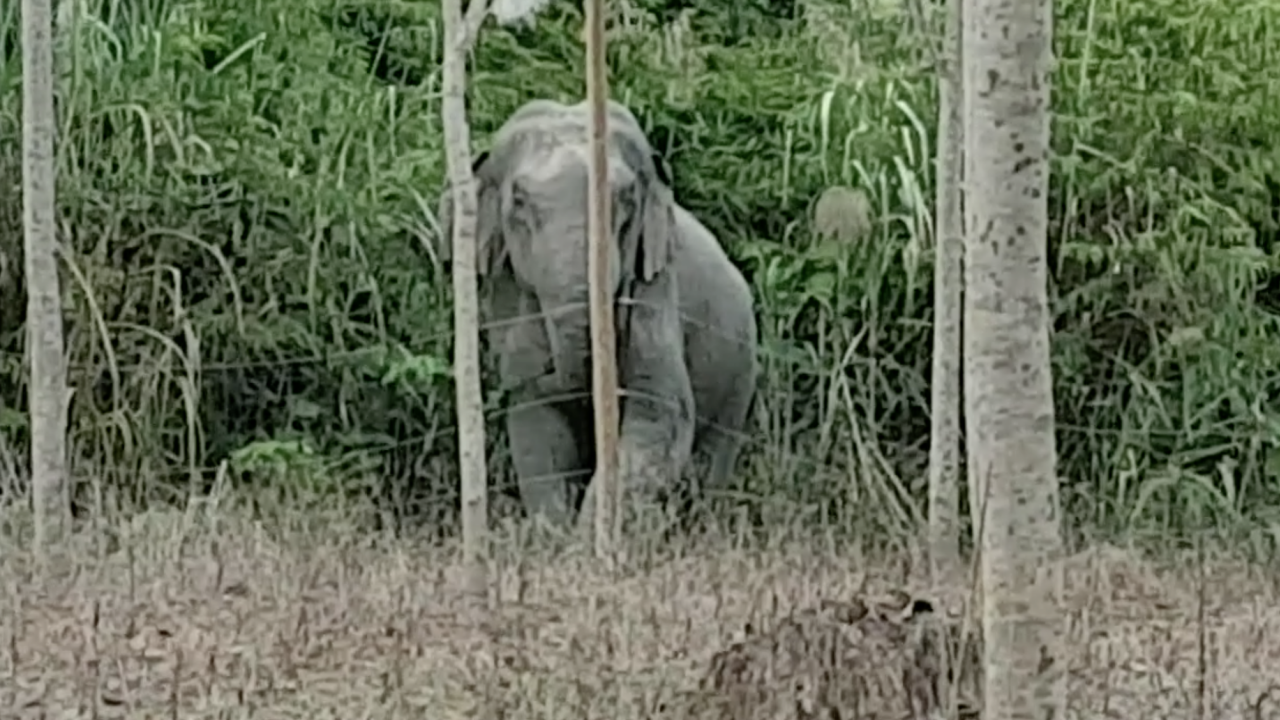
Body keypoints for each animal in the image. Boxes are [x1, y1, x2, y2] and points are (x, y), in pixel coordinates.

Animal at [440, 96, 757, 527]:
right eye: (518, 201)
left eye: (625, 199)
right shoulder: (514, 299)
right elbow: (537, 428)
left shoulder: (653, 289)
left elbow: (659, 417)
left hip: (738, 378)